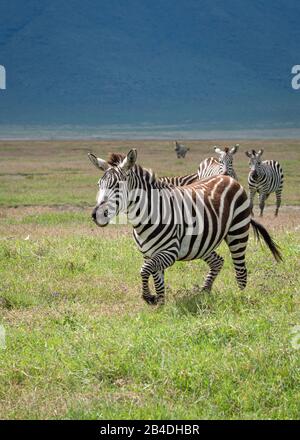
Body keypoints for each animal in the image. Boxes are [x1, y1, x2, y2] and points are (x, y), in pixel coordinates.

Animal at [87, 150, 282, 304]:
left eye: (117, 186)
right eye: (99, 185)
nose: (96, 215)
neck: (147, 216)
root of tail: (227, 177)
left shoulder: (170, 252)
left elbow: (144, 270)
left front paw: (149, 298)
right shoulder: (149, 253)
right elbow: (156, 278)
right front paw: (160, 305)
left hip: (237, 232)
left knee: (241, 271)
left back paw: (240, 298)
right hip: (203, 243)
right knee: (218, 261)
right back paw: (204, 292)